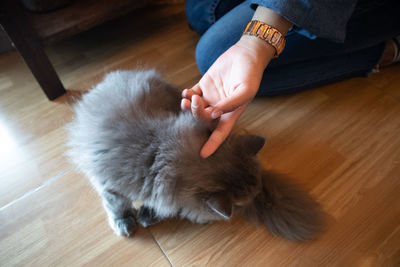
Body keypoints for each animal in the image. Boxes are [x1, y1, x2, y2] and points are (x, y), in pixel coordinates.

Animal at [68, 70, 324, 242]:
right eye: (243, 202)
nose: (256, 195)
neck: (160, 151)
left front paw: (149, 214)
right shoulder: (110, 185)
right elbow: (117, 206)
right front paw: (125, 223)